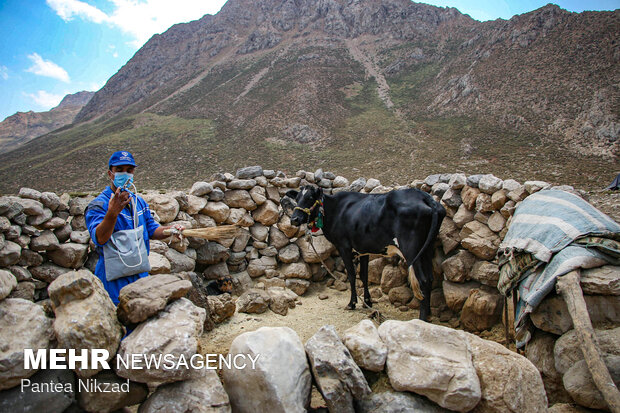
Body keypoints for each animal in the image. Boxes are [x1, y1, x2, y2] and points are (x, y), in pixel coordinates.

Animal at [286, 185, 446, 320]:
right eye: (297, 198)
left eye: (310, 198)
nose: (294, 219)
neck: (335, 210)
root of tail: (425, 197)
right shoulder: (363, 248)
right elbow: (364, 275)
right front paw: (367, 302)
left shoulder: (344, 246)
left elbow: (351, 275)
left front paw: (352, 303)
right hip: (427, 249)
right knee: (430, 278)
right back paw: (428, 313)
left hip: (412, 250)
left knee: (423, 280)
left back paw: (422, 318)